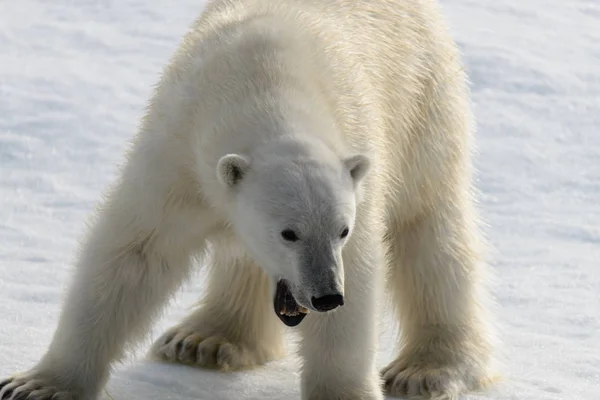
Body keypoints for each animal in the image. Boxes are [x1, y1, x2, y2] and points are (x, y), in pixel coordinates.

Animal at [1, 0, 496, 400]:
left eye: (342, 229)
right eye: (288, 233)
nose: (326, 296)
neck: (265, 82)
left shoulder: (360, 157)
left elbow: (361, 273)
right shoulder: (178, 151)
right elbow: (134, 254)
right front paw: (37, 385)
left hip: (424, 104)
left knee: (428, 233)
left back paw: (426, 370)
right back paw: (204, 339)